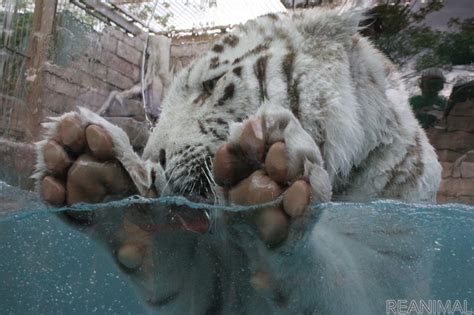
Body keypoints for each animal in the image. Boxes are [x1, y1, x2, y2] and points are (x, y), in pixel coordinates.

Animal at [34, 7, 440, 315]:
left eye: (210, 87)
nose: (153, 159)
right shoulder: (216, 293)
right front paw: (105, 182)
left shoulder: (391, 263)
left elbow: (331, 277)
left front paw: (270, 172)